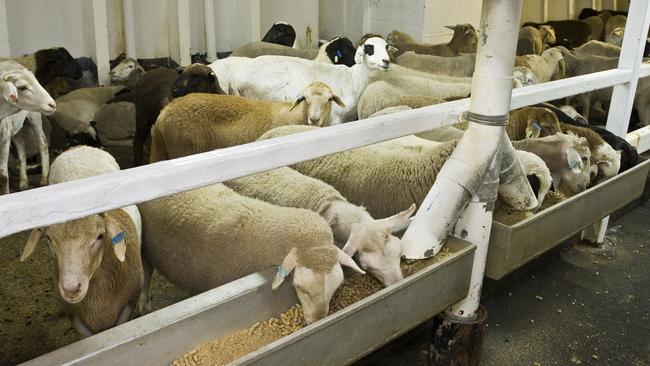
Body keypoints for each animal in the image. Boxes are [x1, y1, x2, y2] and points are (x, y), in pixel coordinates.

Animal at [20, 147, 144, 338]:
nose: (71, 289)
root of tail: (80, 146)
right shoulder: (75, 316)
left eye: (100, 236)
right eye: (49, 239)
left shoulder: (127, 305)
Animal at [137, 183, 364, 326]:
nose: (316, 321)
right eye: (299, 286)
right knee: (146, 274)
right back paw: (144, 304)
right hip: (145, 250)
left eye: (337, 286)